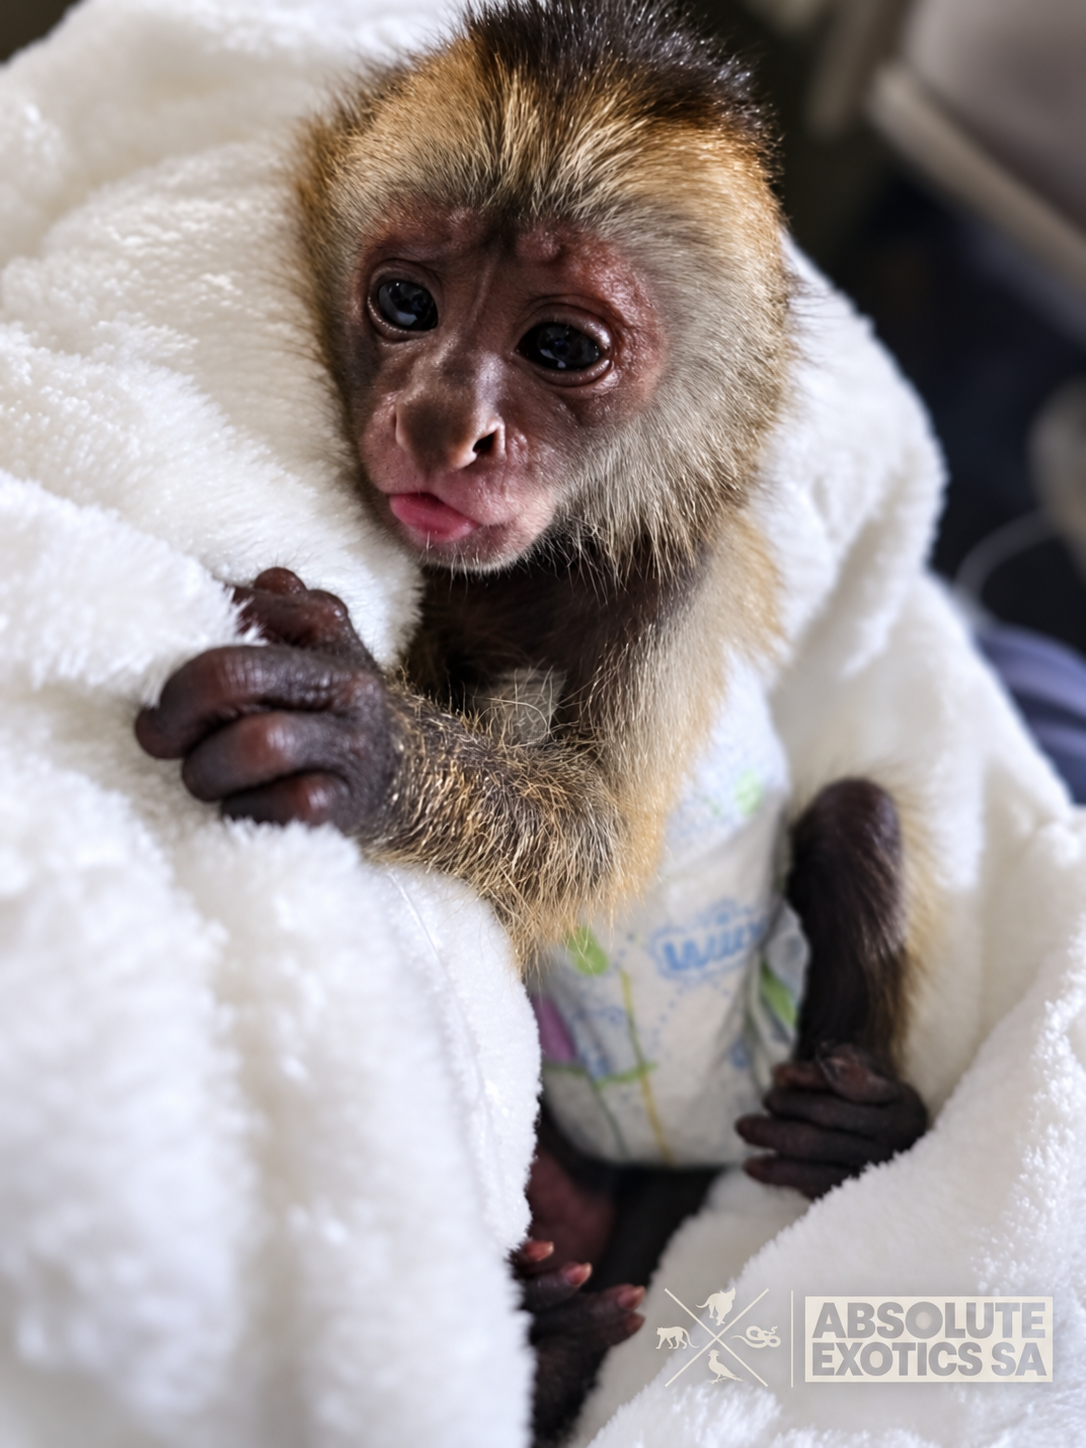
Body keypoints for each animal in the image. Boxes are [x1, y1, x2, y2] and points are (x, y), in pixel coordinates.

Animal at [132, 0, 927, 1437]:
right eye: (405, 304)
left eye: (560, 347)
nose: (450, 423)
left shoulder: (670, 591)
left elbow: (601, 840)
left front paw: (371, 747)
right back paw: (544, 1336)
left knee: (853, 823)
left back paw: (862, 1136)